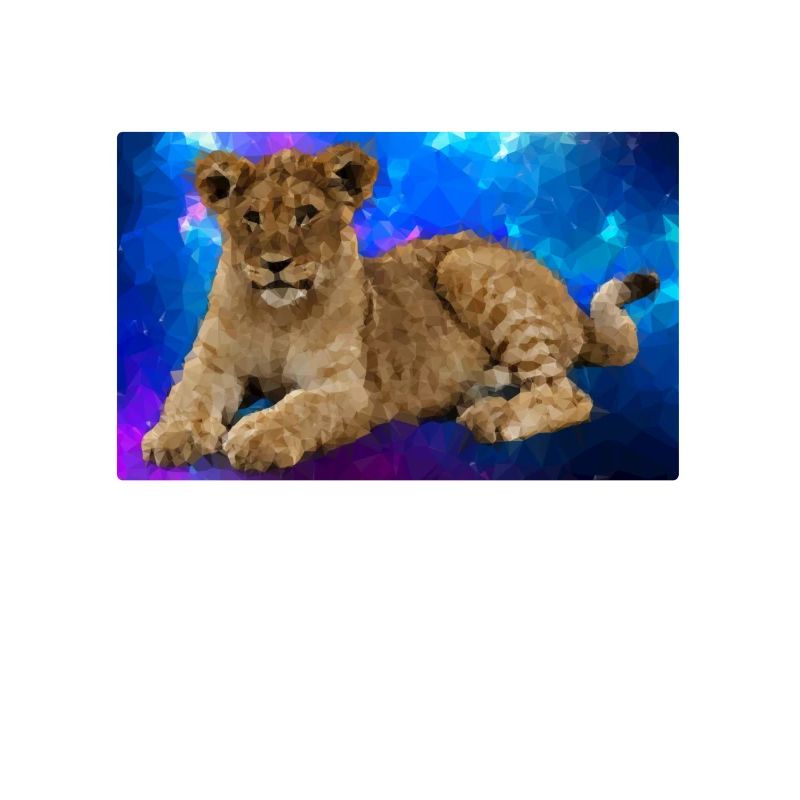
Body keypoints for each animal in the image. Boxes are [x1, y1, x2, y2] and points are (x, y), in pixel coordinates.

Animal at [141, 143, 659, 471]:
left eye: (306, 215)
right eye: (251, 218)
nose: (275, 264)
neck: (278, 316)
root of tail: (575, 308)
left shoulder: (346, 389)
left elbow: (300, 407)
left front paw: (254, 436)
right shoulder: (212, 364)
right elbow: (188, 396)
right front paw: (171, 437)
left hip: (462, 263)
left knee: (567, 395)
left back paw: (495, 416)